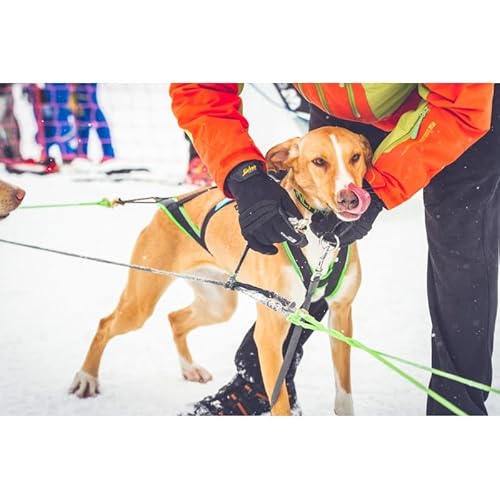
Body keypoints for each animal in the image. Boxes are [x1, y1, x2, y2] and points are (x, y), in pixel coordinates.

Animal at [69, 127, 372, 416]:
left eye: (355, 157)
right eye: (319, 161)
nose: (349, 198)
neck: (318, 233)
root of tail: (169, 203)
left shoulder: (341, 315)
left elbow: (344, 392)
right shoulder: (271, 330)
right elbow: (280, 405)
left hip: (218, 304)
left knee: (175, 318)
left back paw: (189, 367)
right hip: (140, 302)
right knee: (105, 324)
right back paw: (86, 377)